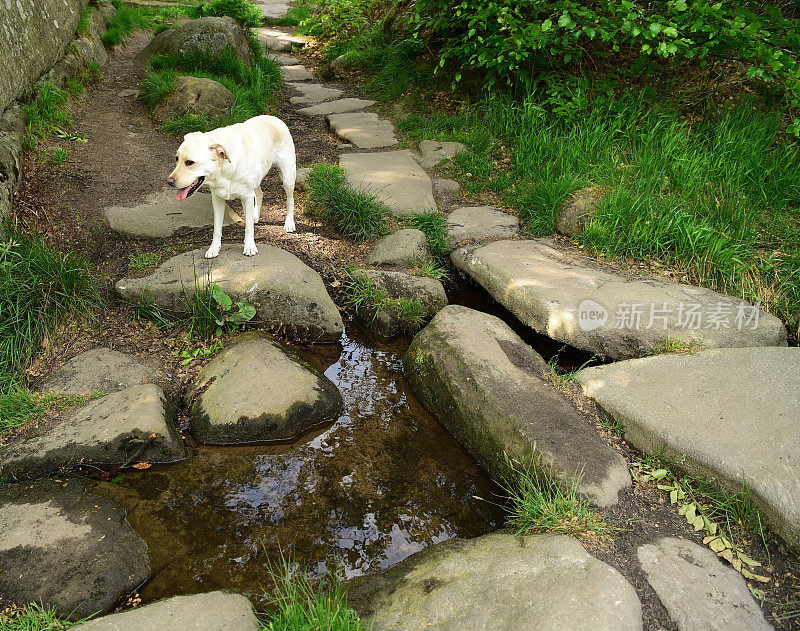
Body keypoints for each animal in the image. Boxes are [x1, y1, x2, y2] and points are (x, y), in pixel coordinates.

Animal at [167, 116, 296, 256]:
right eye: (176, 159)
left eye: (190, 162)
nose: (169, 181)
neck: (223, 170)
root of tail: (273, 117)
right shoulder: (217, 200)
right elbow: (217, 228)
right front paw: (214, 248)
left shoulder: (246, 197)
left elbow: (248, 228)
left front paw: (249, 246)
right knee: (260, 194)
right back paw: (255, 216)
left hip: (287, 177)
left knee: (290, 199)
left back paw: (289, 223)